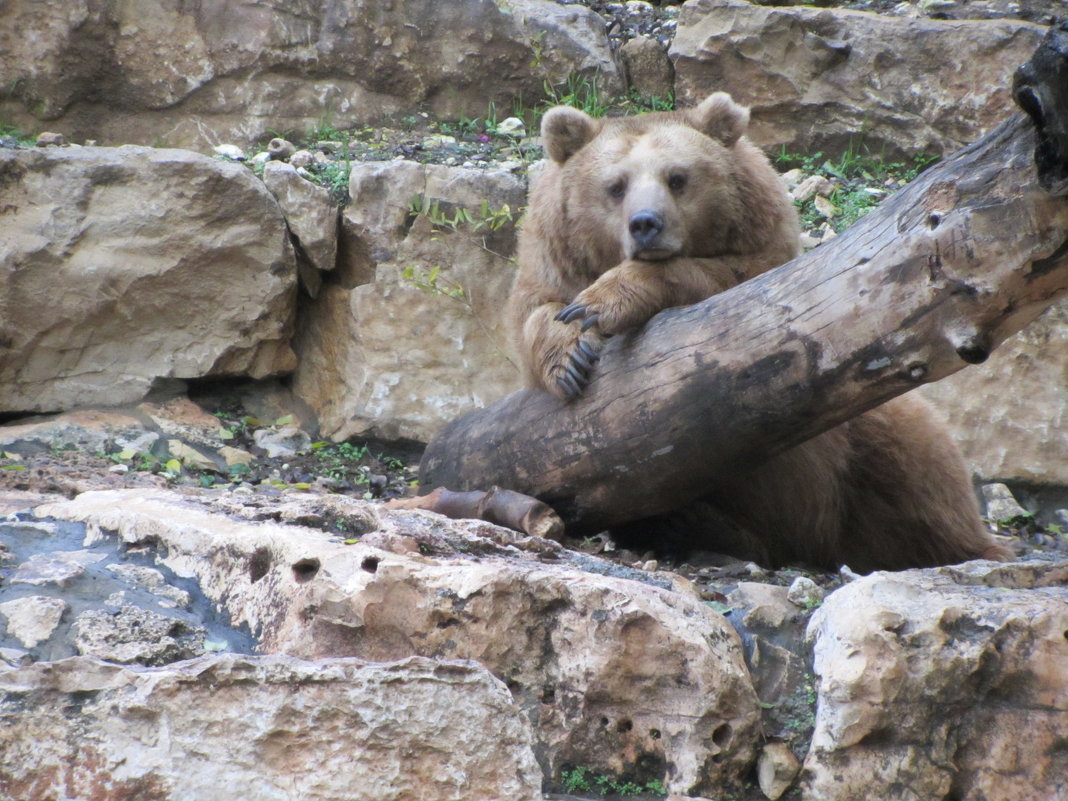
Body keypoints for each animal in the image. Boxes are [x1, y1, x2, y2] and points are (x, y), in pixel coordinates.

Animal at [506, 90, 1008, 572]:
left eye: (677, 178)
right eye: (615, 185)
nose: (646, 223)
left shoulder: (763, 270)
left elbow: (727, 283)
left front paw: (610, 299)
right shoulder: (552, 266)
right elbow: (535, 315)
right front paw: (570, 355)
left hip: (862, 446)